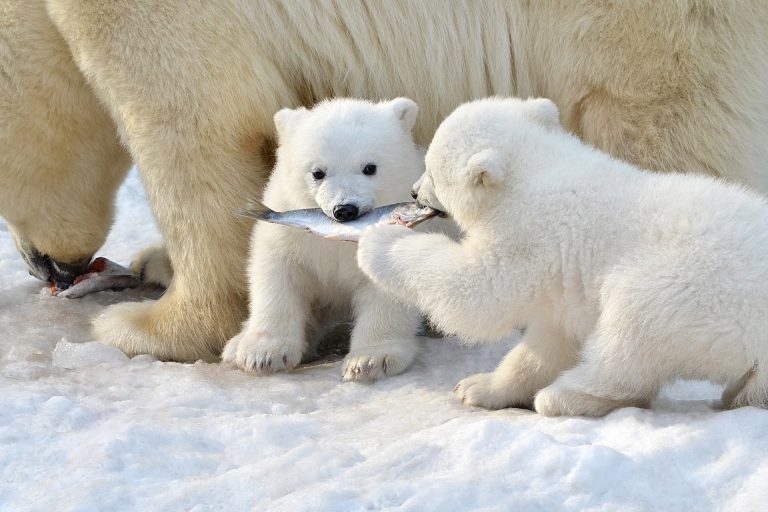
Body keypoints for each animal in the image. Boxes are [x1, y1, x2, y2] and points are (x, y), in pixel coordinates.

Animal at [222, 97, 424, 380]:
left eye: (370, 167)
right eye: (318, 172)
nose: (345, 209)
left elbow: (388, 285)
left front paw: (371, 360)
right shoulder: (289, 232)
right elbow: (277, 274)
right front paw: (263, 354)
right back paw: (237, 343)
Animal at [357, 97, 768, 417]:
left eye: (431, 172)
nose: (413, 191)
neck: (537, 169)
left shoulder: (529, 236)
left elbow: (476, 292)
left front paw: (378, 240)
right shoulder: (562, 282)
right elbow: (550, 340)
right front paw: (479, 387)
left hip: (694, 290)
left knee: (632, 330)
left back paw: (565, 396)